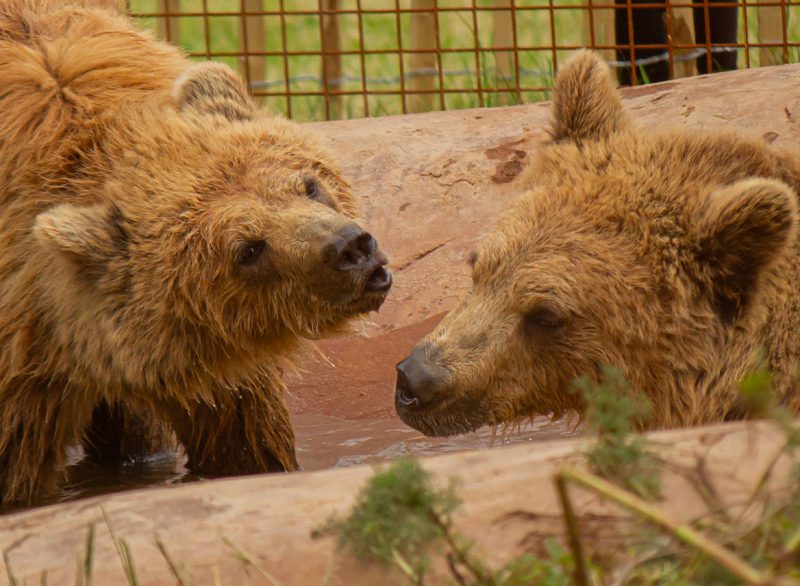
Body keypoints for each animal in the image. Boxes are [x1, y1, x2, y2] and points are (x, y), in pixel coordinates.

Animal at [0, 0, 390, 504]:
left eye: (309, 184)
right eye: (248, 249)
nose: (351, 248)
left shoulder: (212, 361)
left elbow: (242, 437)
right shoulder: (25, 369)